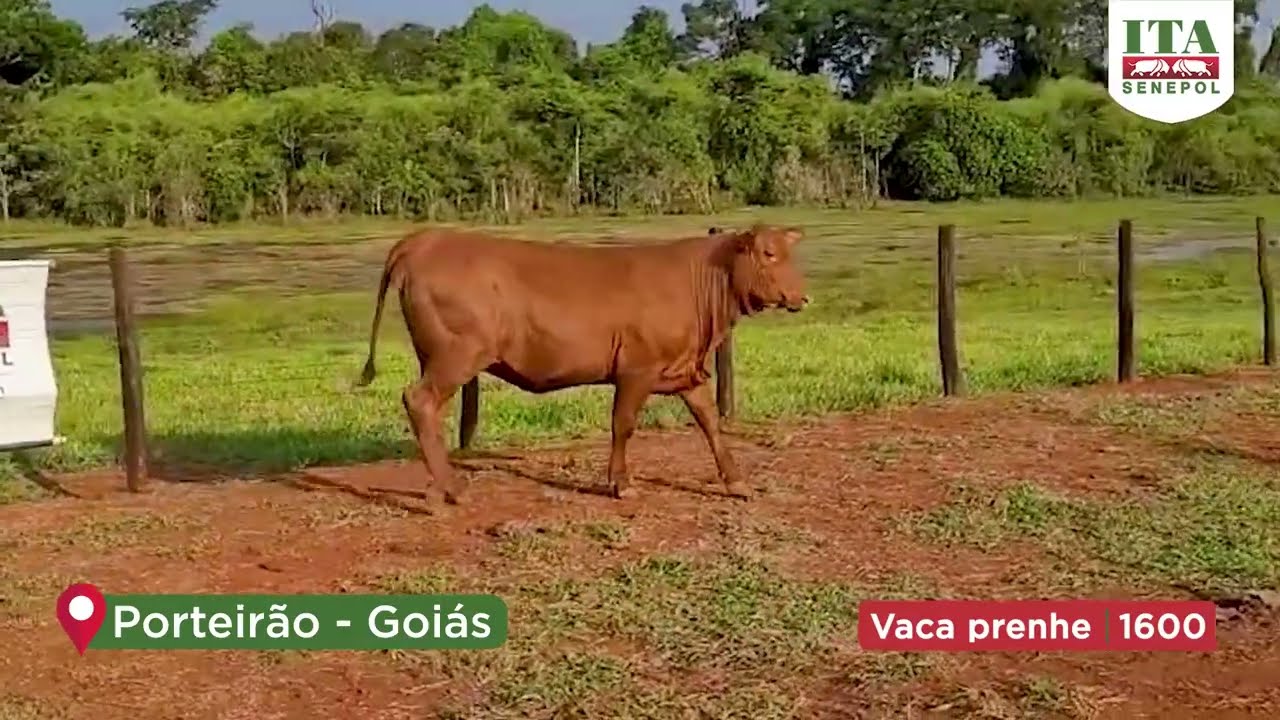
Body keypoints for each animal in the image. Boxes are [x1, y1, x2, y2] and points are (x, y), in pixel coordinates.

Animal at [355, 224, 811, 505]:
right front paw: (621, 484)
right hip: (457, 355)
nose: (802, 297)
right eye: (769, 253)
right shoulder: (636, 370)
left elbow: (710, 423)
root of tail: (426, 239)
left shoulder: (685, 371)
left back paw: (441, 486)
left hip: (436, 357)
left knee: (429, 410)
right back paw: (453, 489)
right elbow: (623, 424)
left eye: (791, 253)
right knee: (419, 401)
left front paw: (736, 481)